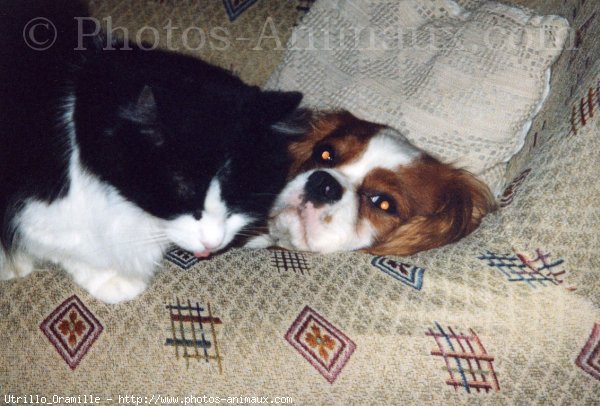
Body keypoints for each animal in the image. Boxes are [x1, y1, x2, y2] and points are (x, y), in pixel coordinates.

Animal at [0, 0, 302, 302]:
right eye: (181, 190)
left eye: (239, 192)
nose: (212, 243)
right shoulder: (31, 207)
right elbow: (65, 244)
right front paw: (111, 279)